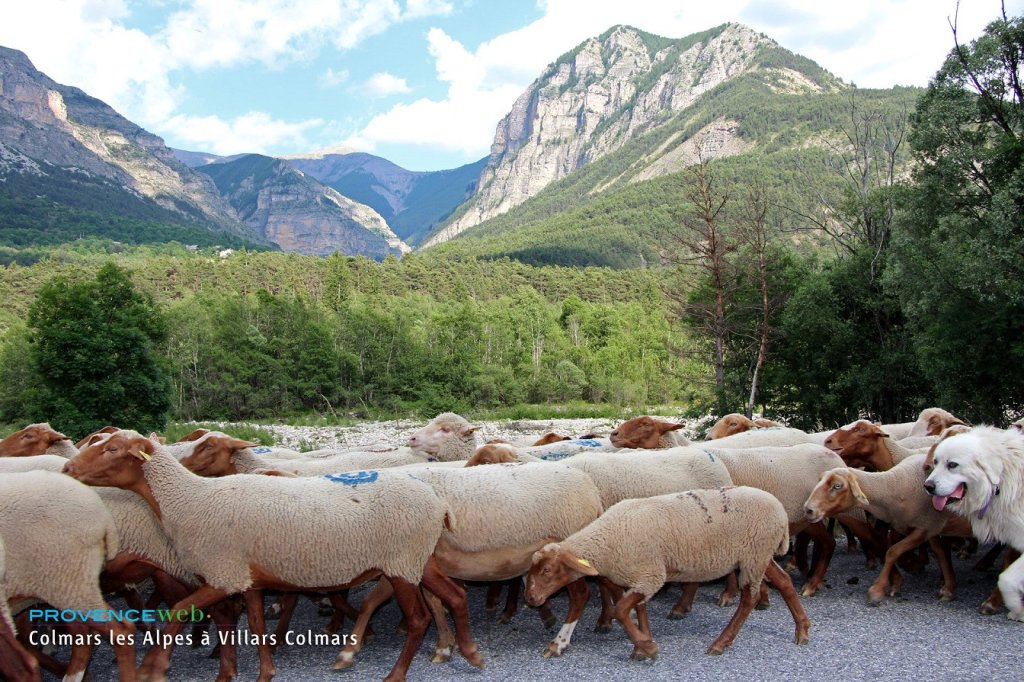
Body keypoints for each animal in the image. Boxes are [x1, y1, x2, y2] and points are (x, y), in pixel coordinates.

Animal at [63, 429, 482, 682]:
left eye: (112, 449)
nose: (68, 467)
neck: (188, 500)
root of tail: (437, 502)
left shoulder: (223, 574)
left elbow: (179, 611)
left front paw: (155, 666)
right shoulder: (248, 578)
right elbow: (255, 625)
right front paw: (264, 671)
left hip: (401, 565)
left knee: (418, 619)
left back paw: (395, 672)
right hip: (419, 560)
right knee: (455, 596)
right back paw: (470, 652)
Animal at [525, 486, 810, 659]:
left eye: (547, 570)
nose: (530, 599)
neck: (605, 541)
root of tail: (780, 511)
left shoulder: (651, 575)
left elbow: (620, 610)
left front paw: (647, 647)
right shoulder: (641, 576)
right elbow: (638, 610)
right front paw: (642, 644)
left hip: (754, 556)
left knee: (749, 598)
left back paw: (721, 642)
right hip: (759, 555)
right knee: (784, 582)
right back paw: (802, 630)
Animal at [803, 454, 972, 604]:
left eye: (837, 486)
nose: (808, 510)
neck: (894, 486)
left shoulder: (924, 528)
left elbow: (893, 551)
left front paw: (878, 590)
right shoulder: (931, 527)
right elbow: (940, 553)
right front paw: (948, 588)